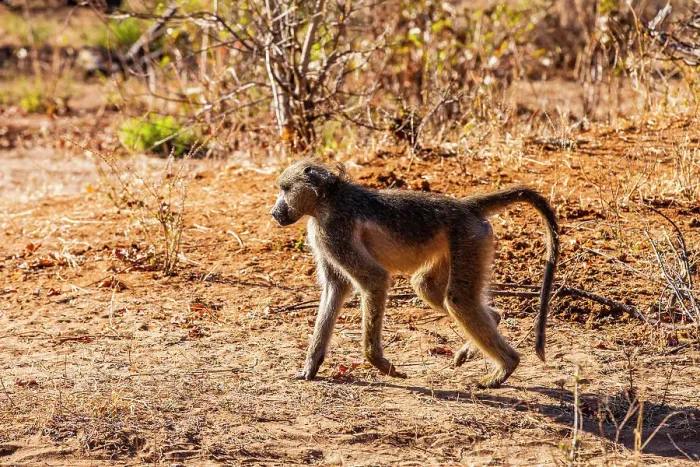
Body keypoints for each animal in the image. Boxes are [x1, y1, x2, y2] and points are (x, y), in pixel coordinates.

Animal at [269, 159, 559, 388]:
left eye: (285, 189)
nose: (274, 213)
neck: (327, 198)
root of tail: (465, 206)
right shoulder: (321, 235)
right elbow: (335, 288)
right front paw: (310, 367)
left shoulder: (332, 231)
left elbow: (375, 278)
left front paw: (381, 364)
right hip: (460, 244)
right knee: (427, 286)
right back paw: (488, 333)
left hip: (469, 238)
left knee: (459, 300)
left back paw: (506, 367)